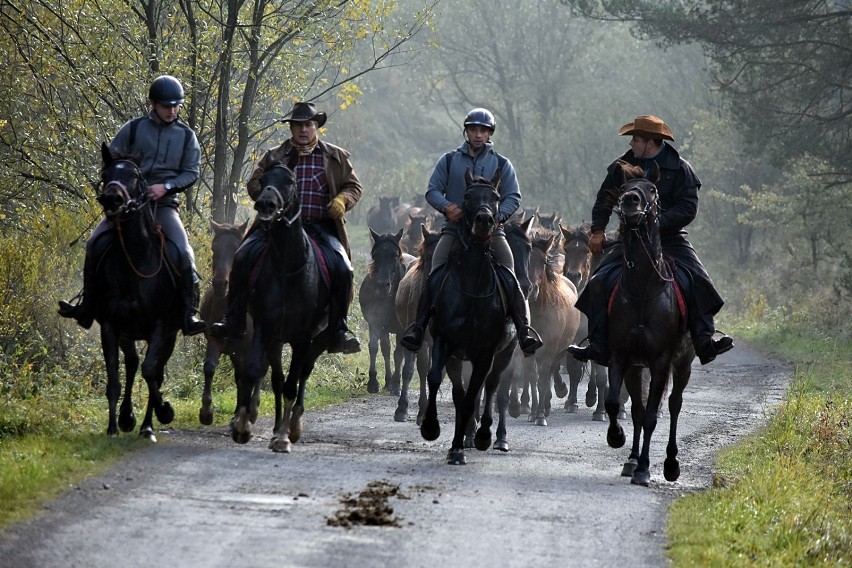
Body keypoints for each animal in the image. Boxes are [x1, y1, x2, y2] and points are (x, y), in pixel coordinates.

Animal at [91, 141, 181, 440]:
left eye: (135, 176)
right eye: (105, 174)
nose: (112, 199)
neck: (134, 262)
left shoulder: (160, 327)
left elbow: (151, 371)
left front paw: (162, 414)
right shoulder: (110, 326)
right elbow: (114, 378)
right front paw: (112, 428)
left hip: (170, 334)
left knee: (153, 369)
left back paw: (145, 424)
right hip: (127, 334)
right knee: (131, 363)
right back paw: (126, 417)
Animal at [231, 158, 334, 450]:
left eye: (290, 181)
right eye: (263, 179)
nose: (266, 204)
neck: (288, 267)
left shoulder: (302, 338)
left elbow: (292, 383)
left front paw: (284, 437)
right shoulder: (264, 328)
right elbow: (255, 372)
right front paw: (243, 426)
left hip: (316, 340)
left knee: (302, 374)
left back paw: (293, 424)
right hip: (276, 340)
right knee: (277, 379)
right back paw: (278, 424)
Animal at [422, 170, 516, 466]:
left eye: (495, 197)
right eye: (467, 196)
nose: (484, 221)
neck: (472, 285)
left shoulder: (485, 353)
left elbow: (474, 394)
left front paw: (459, 447)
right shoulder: (445, 343)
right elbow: (439, 381)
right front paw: (431, 429)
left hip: (504, 353)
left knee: (492, 386)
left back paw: (486, 435)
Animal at [604, 162, 696, 486]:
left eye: (653, 190)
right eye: (623, 187)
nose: (631, 201)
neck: (643, 288)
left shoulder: (660, 362)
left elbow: (652, 416)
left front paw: (645, 469)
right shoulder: (622, 357)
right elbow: (617, 404)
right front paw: (617, 439)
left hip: (683, 364)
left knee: (674, 404)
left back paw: (670, 464)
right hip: (637, 367)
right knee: (637, 408)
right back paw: (631, 460)